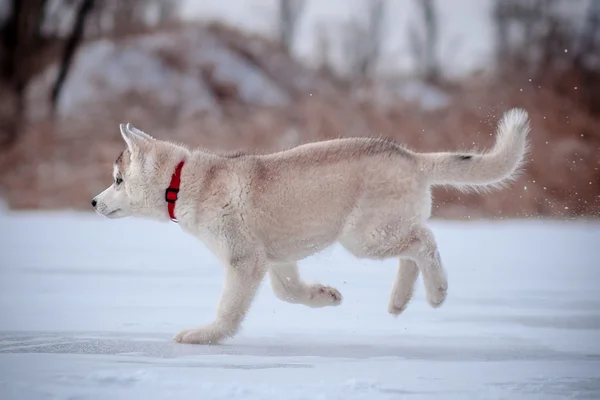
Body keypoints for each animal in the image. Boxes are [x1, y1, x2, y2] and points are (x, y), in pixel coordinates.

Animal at [90, 108, 528, 344]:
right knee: (413, 247)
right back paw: (399, 301)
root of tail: (410, 156)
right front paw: (324, 296)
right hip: (383, 229)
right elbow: (286, 291)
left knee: (425, 240)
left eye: (118, 180)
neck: (184, 181)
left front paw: (204, 334)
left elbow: (230, 307)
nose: (93, 202)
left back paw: (437, 293)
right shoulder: (275, 257)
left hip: (364, 237)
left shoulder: (245, 259)